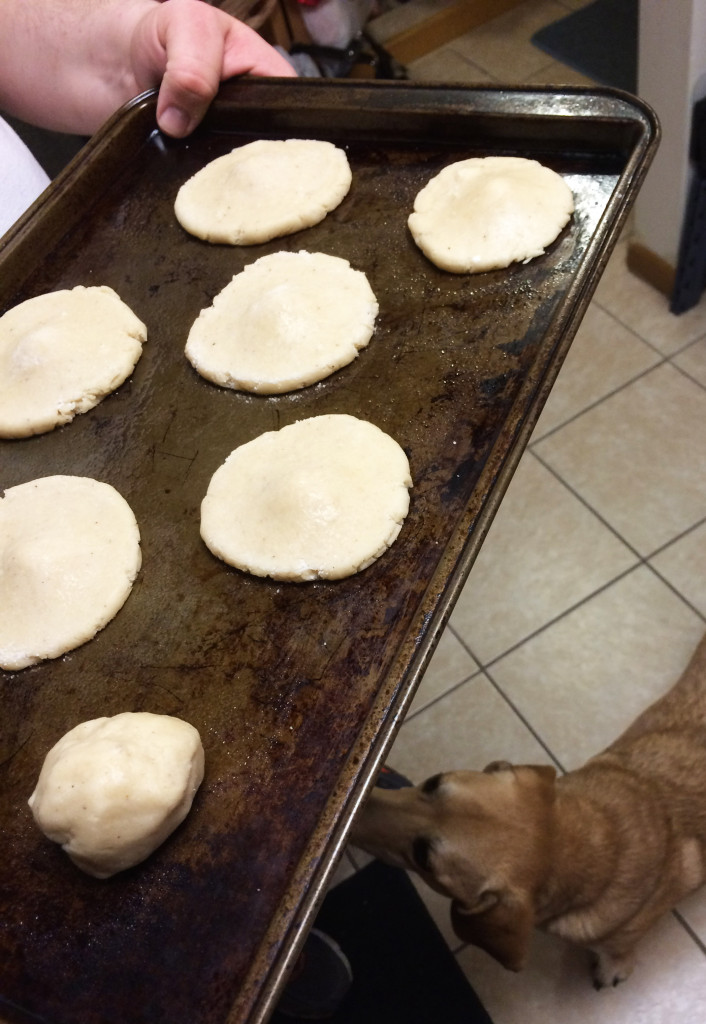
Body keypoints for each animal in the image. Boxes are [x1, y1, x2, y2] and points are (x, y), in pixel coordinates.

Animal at [352, 630, 706, 983]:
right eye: (432, 781)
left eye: (423, 858)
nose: (355, 810)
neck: (597, 840)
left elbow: (619, 949)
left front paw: (614, 966)